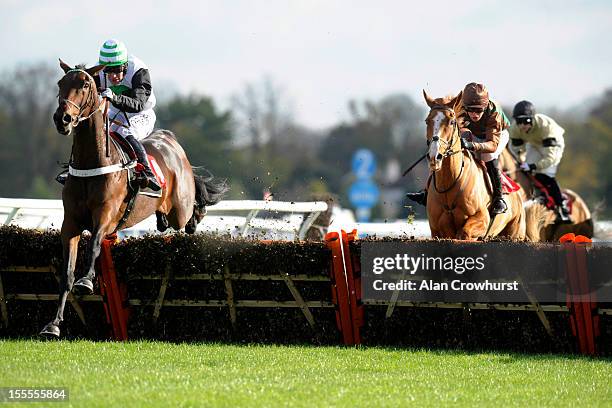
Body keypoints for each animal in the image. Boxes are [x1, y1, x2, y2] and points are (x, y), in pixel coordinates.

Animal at [40, 59, 228, 336]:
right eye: (60, 83)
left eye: (85, 84)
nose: (62, 118)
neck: (92, 162)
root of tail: (170, 140)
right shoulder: (70, 224)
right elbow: (66, 274)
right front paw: (53, 324)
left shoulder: (106, 215)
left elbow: (94, 244)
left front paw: (86, 281)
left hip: (180, 210)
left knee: (190, 214)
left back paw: (197, 215)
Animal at [424, 91, 548, 241]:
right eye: (427, 121)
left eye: (451, 122)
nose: (434, 157)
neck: (449, 182)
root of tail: (518, 194)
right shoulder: (436, 230)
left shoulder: (482, 219)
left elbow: (464, 233)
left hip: (515, 232)